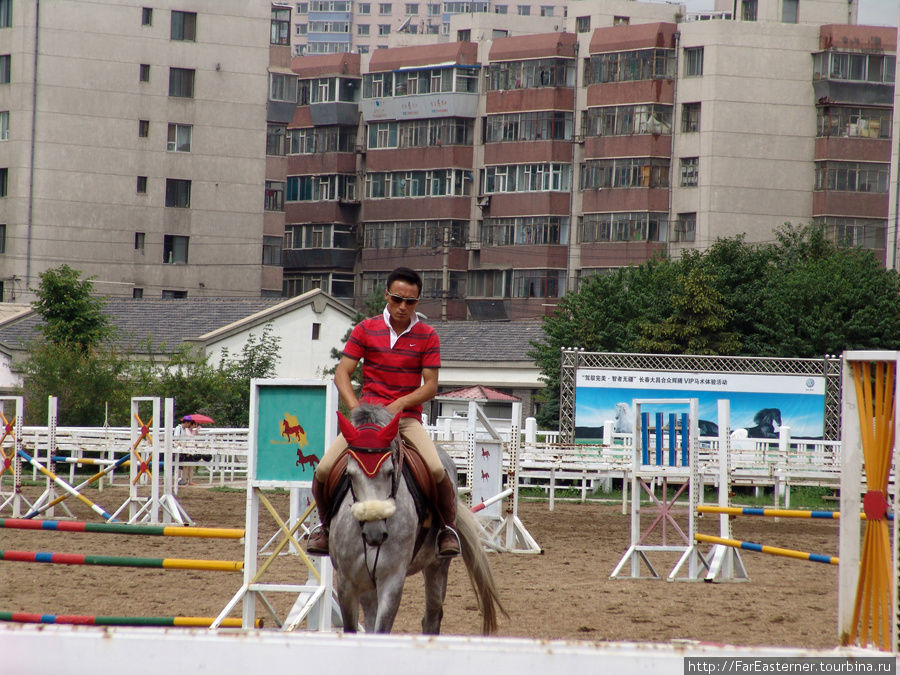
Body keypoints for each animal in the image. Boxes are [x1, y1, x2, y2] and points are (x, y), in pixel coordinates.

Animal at [328, 404, 506, 636]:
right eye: (349, 474)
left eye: (390, 471)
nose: (374, 532)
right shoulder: (347, 582)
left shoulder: (392, 580)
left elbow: (382, 629)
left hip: (437, 567)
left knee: (432, 617)